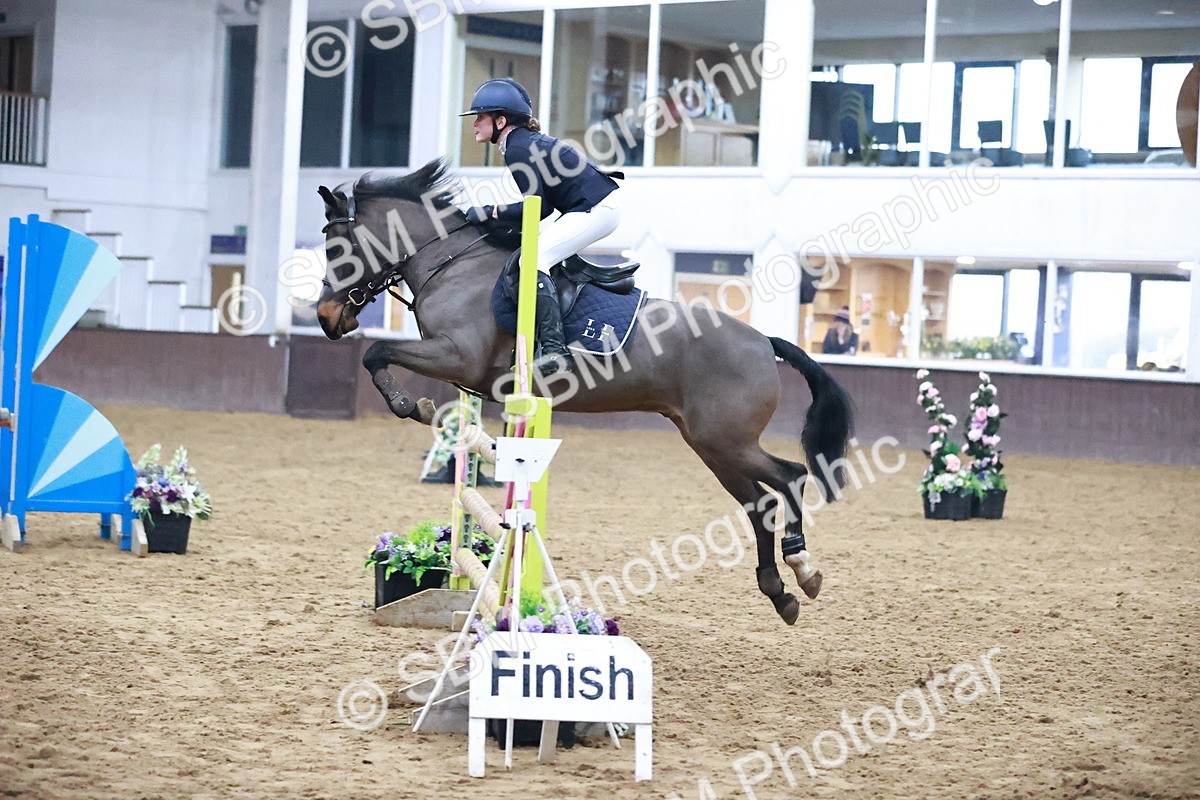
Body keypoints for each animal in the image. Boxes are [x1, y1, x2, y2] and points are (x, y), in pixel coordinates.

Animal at [314, 159, 854, 626]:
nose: (325, 318)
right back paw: (781, 592)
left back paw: (802, 566)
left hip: (726, 442)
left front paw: (410, 404)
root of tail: (764, 341)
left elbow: (376, 352)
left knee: (790, 477)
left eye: (334, 247)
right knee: (758, 504)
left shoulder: (457, 356)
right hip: (711, 445)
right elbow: (383, 358)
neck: (452, 265)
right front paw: (421, 408)